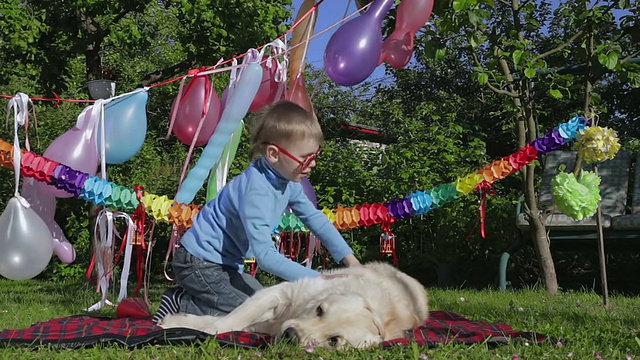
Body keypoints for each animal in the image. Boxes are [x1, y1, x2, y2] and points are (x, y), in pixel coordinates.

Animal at [158, 262, 428, 350]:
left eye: (333, 341)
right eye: (319, 310)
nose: (290, 335)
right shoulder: (279, 293)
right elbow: (228, 319)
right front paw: (180, 324)